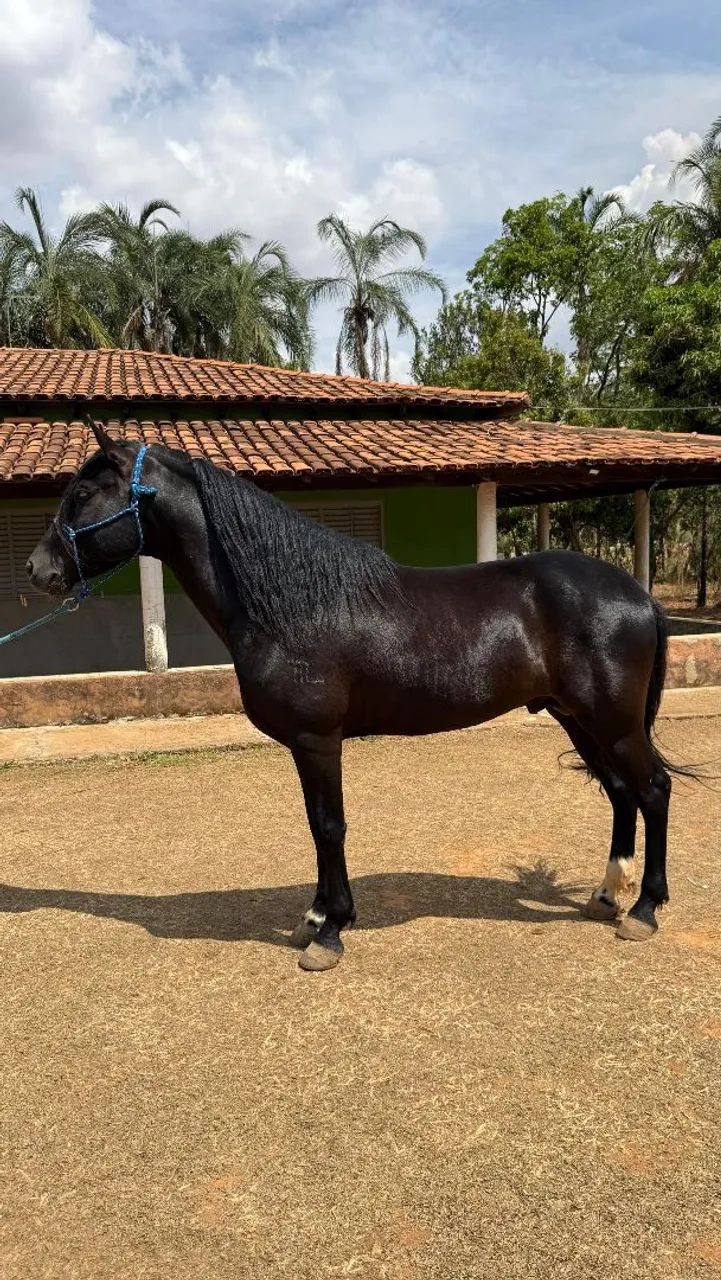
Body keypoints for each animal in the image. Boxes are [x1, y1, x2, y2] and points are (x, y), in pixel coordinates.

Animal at [27, 424, 684, 971]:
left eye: (82, 493)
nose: (38, 569)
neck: (292, 603)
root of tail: (637, 593)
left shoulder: (318, 740)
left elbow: (328, 826)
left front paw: (329, 932)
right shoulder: (305, 746)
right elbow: (317, 826)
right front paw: (317, 915)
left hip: (614, 723)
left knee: (652, 790)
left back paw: (645, 911)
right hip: (579, 719)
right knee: (621, 791)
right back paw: (608, 895)